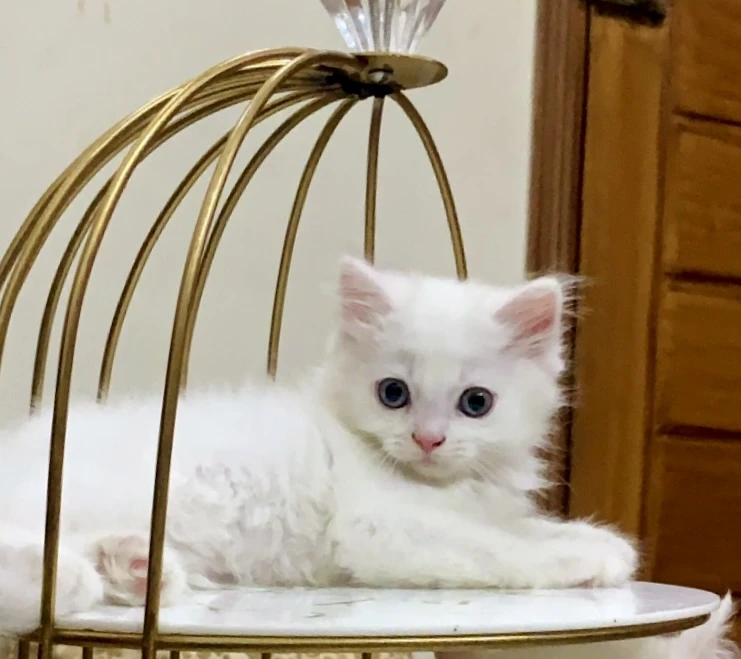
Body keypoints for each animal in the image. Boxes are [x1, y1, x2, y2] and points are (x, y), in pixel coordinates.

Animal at [0, 258, 728, 659]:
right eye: (393, 393)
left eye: (475, 403)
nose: (428, 440)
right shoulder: (384, 527)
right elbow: (499, 549)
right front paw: (580, 556)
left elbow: (516, 525)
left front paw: (592, 538)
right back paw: (66, 574)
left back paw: (129, 566)